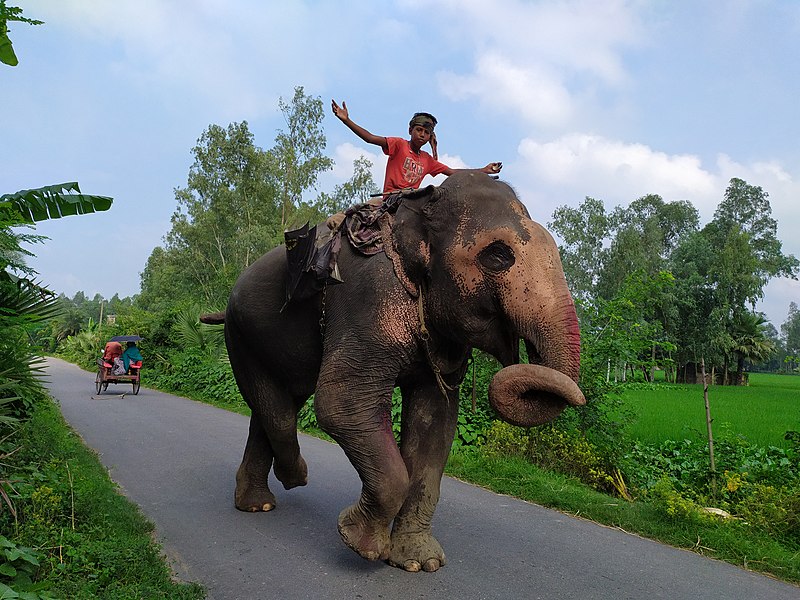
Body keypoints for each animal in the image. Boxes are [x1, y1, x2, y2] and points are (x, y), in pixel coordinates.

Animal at [203, 172, 584, 572]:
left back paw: (259, 502)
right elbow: (341, 404)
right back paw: (295, 478)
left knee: (275, 406)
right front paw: (361, 544)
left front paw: (419, 563)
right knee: (277, 408)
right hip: (239, 334)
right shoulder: (369, 296)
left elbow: (435, 420)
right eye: (497, 256)